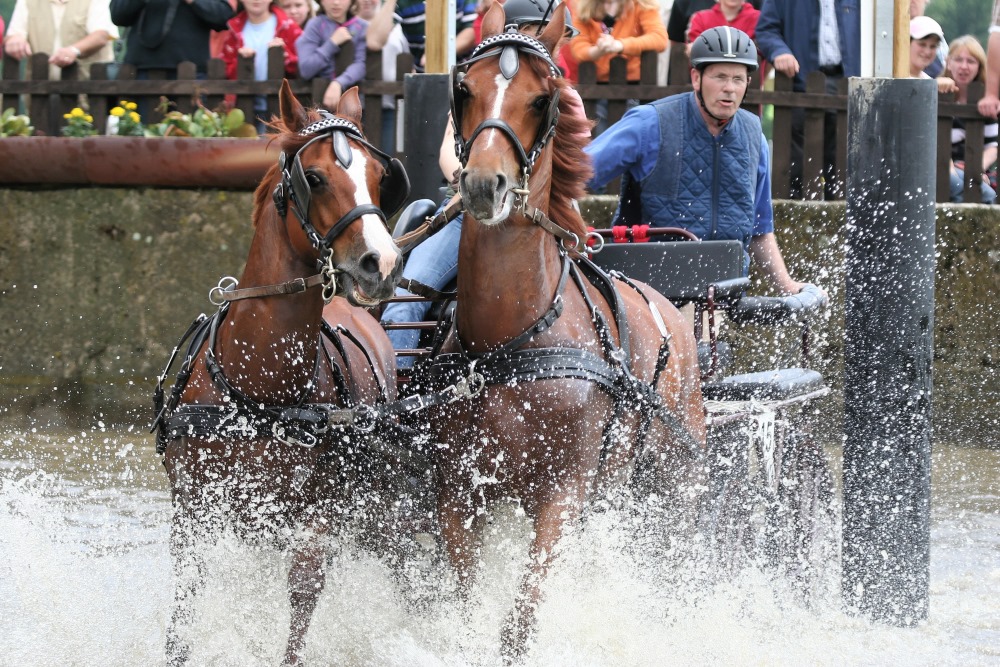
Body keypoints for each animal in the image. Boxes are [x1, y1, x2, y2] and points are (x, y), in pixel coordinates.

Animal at [151, 81, 406, 664]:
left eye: (379, 178)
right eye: (314, 177)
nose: (381, 264)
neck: (262, 387)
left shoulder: (316, 520)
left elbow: (302, 600)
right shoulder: (195, 512)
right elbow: (185, 605)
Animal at [426, 5, 708, 660]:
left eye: (543, 99)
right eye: (463, 90)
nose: (484, 184)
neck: (514, 338)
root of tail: (676, 314)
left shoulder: (563, 495)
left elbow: (521, 619)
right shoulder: (460, 495)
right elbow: (466, 606)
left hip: (676, 481)